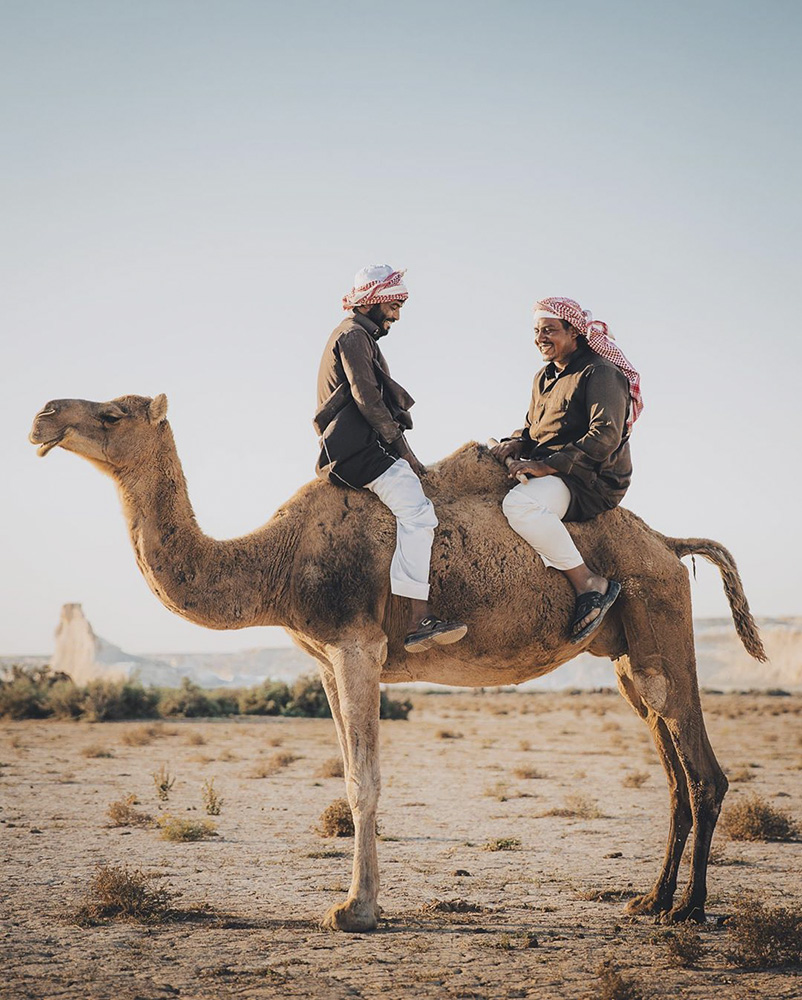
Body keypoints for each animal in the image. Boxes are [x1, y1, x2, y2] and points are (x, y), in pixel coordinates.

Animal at [28, 390, 764, 928]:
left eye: (112, 413)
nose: (44, 415)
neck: (278, 562)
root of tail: (668, 543)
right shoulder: (326, 660)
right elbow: (351, 773)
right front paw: (358, 901)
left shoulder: (357, 646)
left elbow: (364, 781)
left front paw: (355, 910)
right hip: (627, 655)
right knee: (672, 768)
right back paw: (652, 901)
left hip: (659, 621)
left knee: (703, 771)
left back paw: (692, 910)